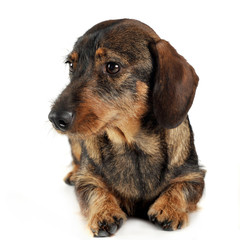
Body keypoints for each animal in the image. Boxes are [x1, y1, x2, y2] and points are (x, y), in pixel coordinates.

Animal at [48, 18, 204, 236]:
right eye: (71, 64)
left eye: (112, 66)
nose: (55, 118)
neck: (132, 145)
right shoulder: (87, 181)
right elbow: (95, 191)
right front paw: (104, 211)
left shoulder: (194, 177)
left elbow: (181, 188)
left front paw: (169, 207)